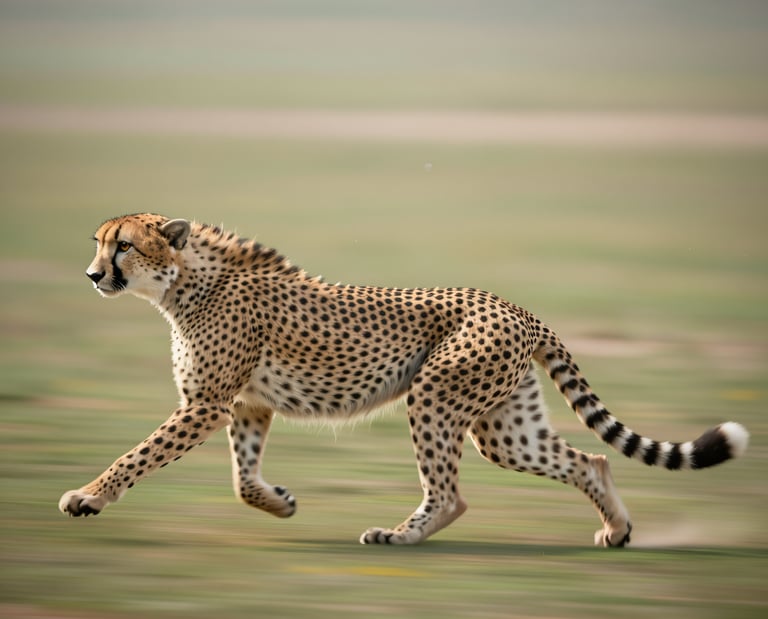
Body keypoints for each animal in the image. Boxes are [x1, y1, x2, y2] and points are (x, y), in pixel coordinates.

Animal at [59, 213, 749, 546]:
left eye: (122, 245)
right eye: (98, 243)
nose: (92, 275)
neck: (184, 282)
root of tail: (516, 306)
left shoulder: (205, 403)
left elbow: (137, 456)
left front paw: (88, 496)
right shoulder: (247, 405)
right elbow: (243, 479)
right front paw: (280, 503)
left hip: (436, 397)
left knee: (451, 494)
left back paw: (397, 535)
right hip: (503, 428)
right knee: (590, 461)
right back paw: (618, 529)